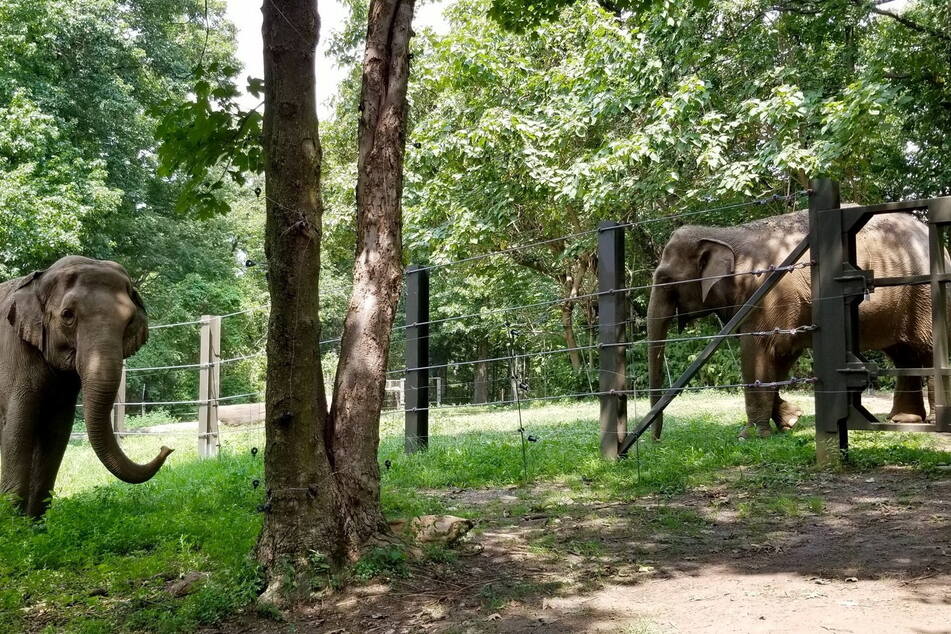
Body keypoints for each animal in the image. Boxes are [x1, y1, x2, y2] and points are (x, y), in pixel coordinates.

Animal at [0, 256, 173, 512]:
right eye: (67, 315)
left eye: (129, 320)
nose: (166, 448)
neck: (41, 278)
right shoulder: (14, 354)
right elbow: (18, 427)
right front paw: (13, 521)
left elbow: (57, 431)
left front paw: (34, 522)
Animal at [648, 210, 936, 436]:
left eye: (664, 280)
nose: (656, 440)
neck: (726, 234)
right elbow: (781, 355)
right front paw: (790, 419)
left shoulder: (770, 293)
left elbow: (760, 351)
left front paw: (750, 435)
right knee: (903, 354)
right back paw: (903, 420)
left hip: (924, 295)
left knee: (927, 349)